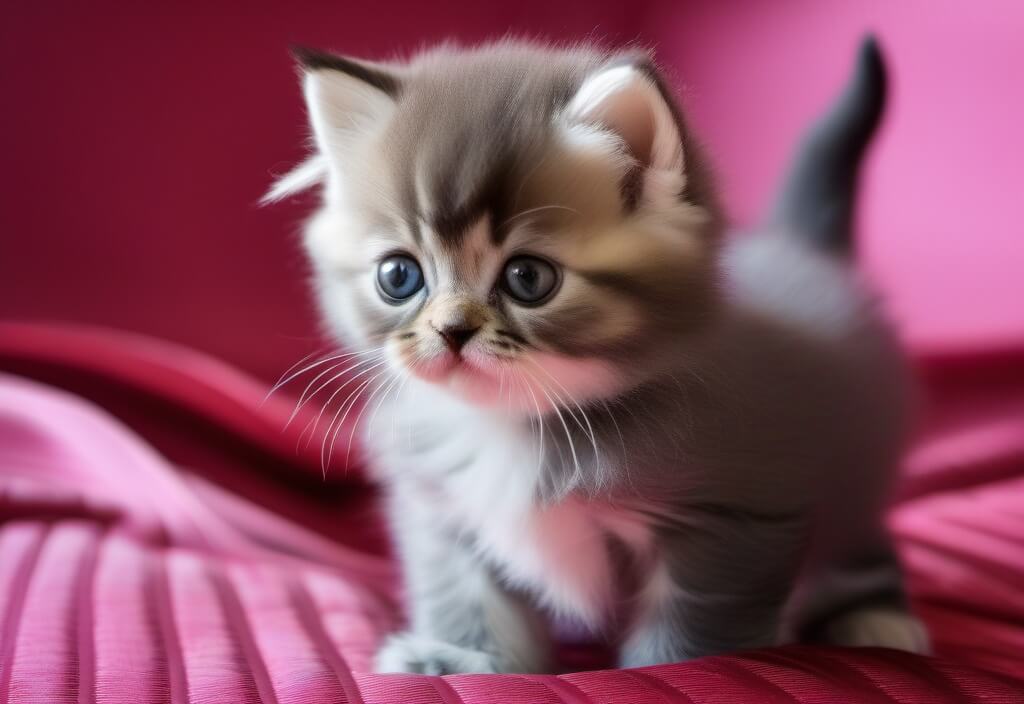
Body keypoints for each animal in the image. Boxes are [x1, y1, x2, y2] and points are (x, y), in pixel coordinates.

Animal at [268, 37, 933, 671]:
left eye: (528, 278)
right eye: (399, 276)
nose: (452, 331)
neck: (519, 428)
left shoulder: (734, 521)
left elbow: (694, 631)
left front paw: (670, 667)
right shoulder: (442, 509)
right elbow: (466, 596)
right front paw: (462, 658)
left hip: (859, 474)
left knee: (860, 549)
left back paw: (877, 620)